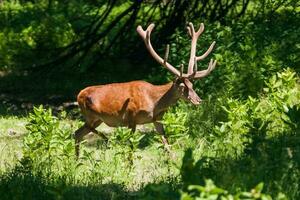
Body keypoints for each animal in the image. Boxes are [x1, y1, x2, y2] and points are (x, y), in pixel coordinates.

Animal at [74, 22, 217, 157]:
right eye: (182, 87)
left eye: (192, 85)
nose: (199, 100)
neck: (154, 102)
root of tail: (79, 94)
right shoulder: (131, 118)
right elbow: (131, 148)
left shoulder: (156, 120)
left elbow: (167, 145)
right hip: (91, 115)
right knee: (83, 130)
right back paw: (106, 141)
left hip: (96, 119)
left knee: (78, 133)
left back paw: (77, 160)